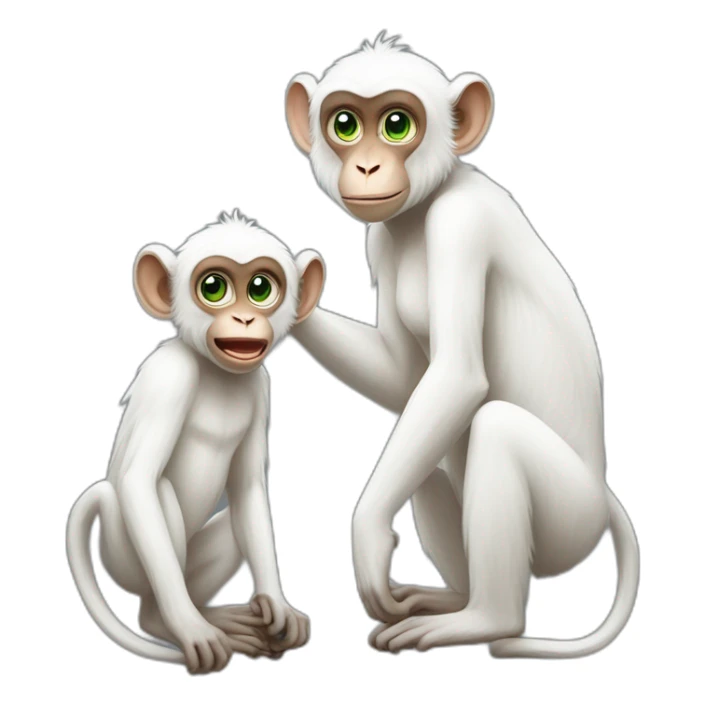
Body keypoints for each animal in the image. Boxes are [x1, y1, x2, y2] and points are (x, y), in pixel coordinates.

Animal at [66, 209, 325, 673]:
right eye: (214, 288)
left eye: (261, 288)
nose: (244, 319)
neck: (216, 372)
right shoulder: (170, 375)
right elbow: (139, 481)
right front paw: (191, 631)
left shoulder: (261, 386)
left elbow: (248, 488)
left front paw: (277, 605)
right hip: (121, 552)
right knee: (156, 494)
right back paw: (175, 621)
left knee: (232, 526)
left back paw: (218, 616)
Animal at [284, 32, 639, 658]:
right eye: (345, 125)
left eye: (397, 125)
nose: (367, 164)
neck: (427, 203)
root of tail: (604, 499)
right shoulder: (380, 239)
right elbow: (403, 377)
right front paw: (286, 291)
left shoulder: (461, 224)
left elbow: (454, 377)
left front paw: (366, 535)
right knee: (422, 444)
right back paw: (452, 598)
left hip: (571, 519)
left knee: (495, 428)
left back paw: (486, 619)